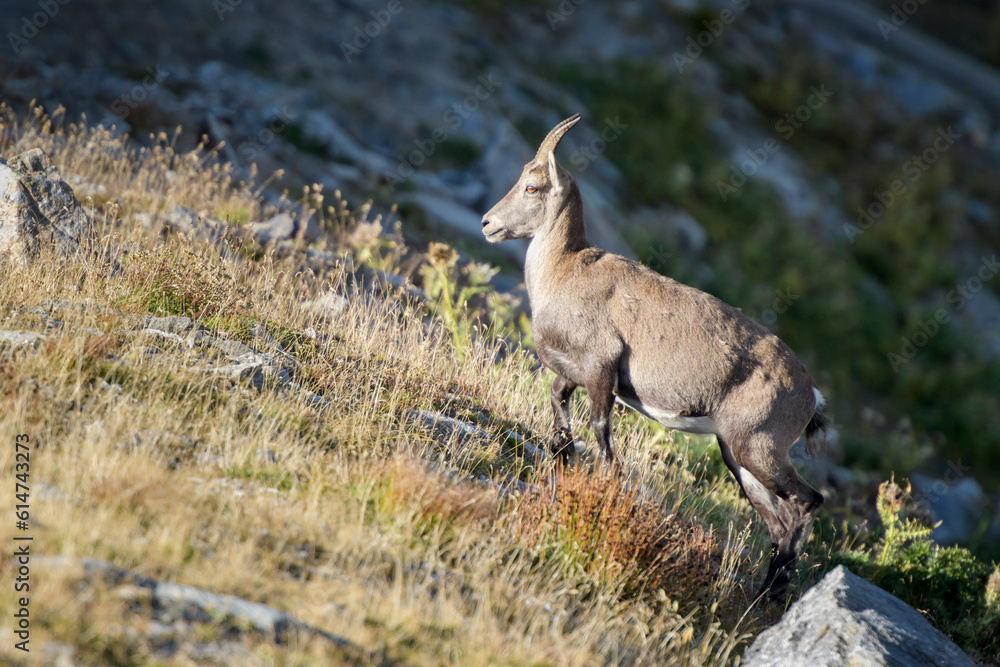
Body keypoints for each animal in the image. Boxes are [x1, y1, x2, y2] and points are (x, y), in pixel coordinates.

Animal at [481, 114, 826, 597]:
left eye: (531, 186)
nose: (487, 223)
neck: (562, 272)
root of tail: (810, 395)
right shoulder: (576, 373)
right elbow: (556, 399)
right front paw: (562, 453)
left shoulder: (602, 366)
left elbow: (602, 433)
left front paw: (605, 487)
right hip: (736, 452)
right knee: (776, 518)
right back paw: (764, 591)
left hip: (759, 445)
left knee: (806, 502)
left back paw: (776, 588)